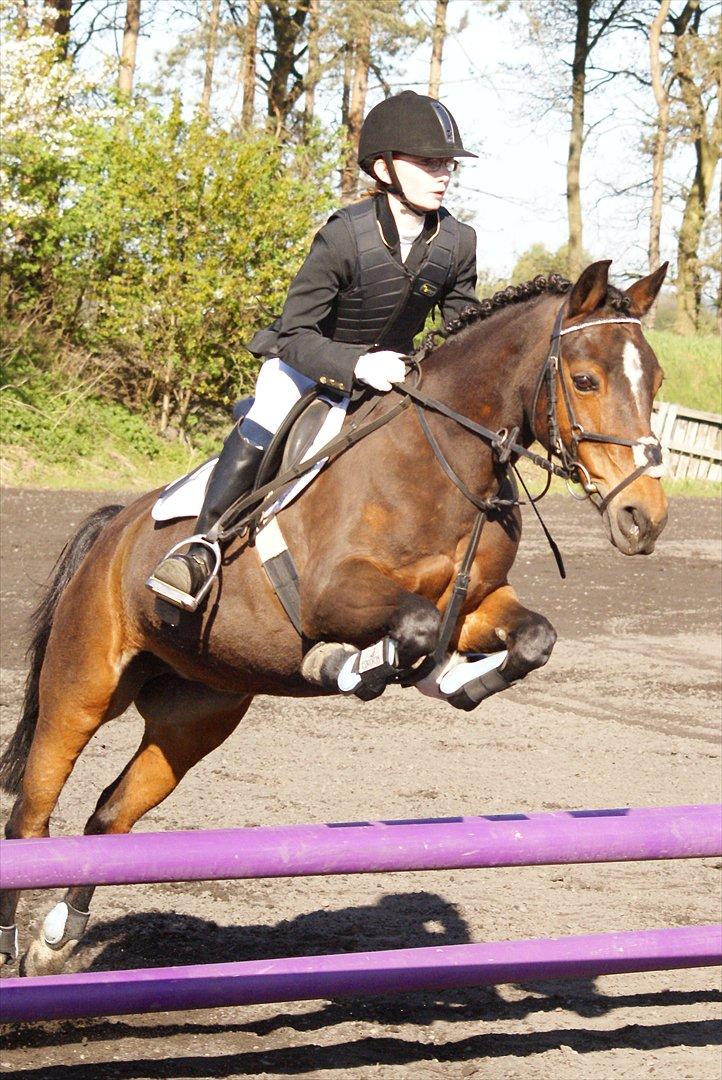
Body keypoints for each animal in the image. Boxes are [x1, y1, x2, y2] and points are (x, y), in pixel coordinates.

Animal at [0, 257, 669, 976]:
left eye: (656, 381)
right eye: (586, 379)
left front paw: (455, 680)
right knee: (30, 820)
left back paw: (55, 941)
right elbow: (411, 628)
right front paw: (344, 664)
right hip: (82, 688)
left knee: (110, 818)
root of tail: (110, 531)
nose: (644, 519)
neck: (442, 462)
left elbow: (530, 638)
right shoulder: (333, 593)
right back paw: (15, 944)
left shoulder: (475, 602)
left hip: (195, 713)